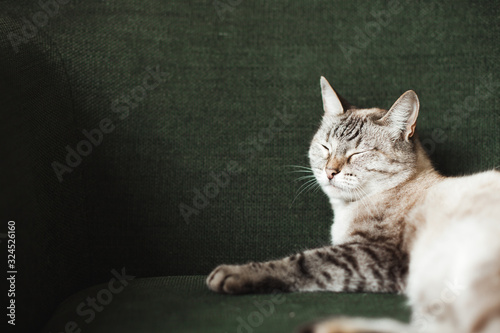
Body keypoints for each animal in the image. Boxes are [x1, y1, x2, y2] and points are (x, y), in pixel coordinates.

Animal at [206, 76, 500, 330]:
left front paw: (232, 274)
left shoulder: (376, 254)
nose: (330, 172)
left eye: (357, 154)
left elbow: (304, 261)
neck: (345, 210)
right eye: (325, 147)